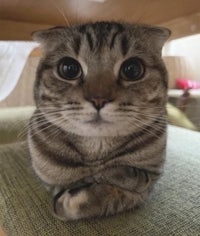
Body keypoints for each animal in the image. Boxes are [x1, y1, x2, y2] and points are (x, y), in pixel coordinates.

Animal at [28, 21, 170, 220]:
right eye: (69, 68)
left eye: (132, 69)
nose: (99, 100)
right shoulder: (50, 182)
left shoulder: (151, 180)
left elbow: (123, 192)